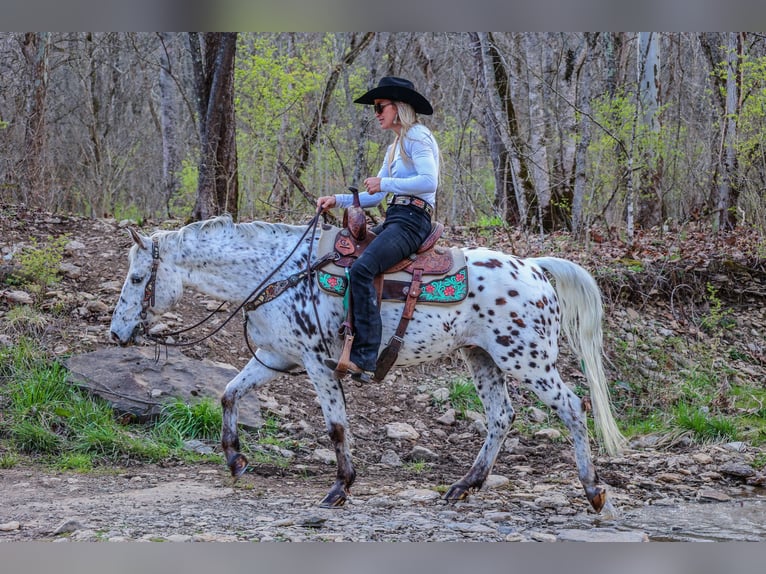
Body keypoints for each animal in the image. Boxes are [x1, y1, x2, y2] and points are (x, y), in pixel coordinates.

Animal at [111, 215, 628, 512]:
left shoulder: (318, 364)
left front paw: (340, 488)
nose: (117, 334)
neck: (282, 271)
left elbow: (336, 427)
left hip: (527, 360)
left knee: (572, 408)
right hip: (482, 357)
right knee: (501, 417)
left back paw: (593, 491)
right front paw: (236, 460)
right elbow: (228, 393)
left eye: (137, 278)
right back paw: (465, 486)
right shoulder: (274, 358)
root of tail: (536, 268)